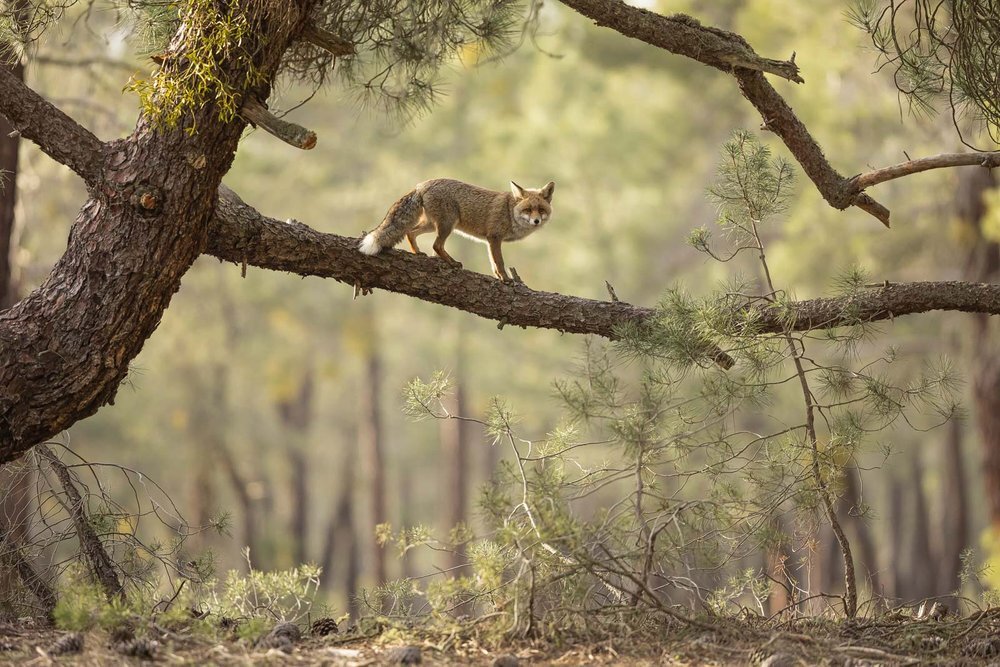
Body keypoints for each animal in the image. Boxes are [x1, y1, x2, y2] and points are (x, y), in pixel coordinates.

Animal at [358, 179, 556, 280]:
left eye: (541, 210)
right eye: (528, 210)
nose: (536, 221)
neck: (509, 212)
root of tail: (421, 184)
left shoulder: (490, 241)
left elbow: (493, 264)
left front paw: (499, 278)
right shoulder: (494, 238)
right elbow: (499, 262)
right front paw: (506, 280)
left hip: (431, 225)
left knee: (410, 232)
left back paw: (418, 252)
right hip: (447, 225)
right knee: (436, 246)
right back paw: (452, 263)